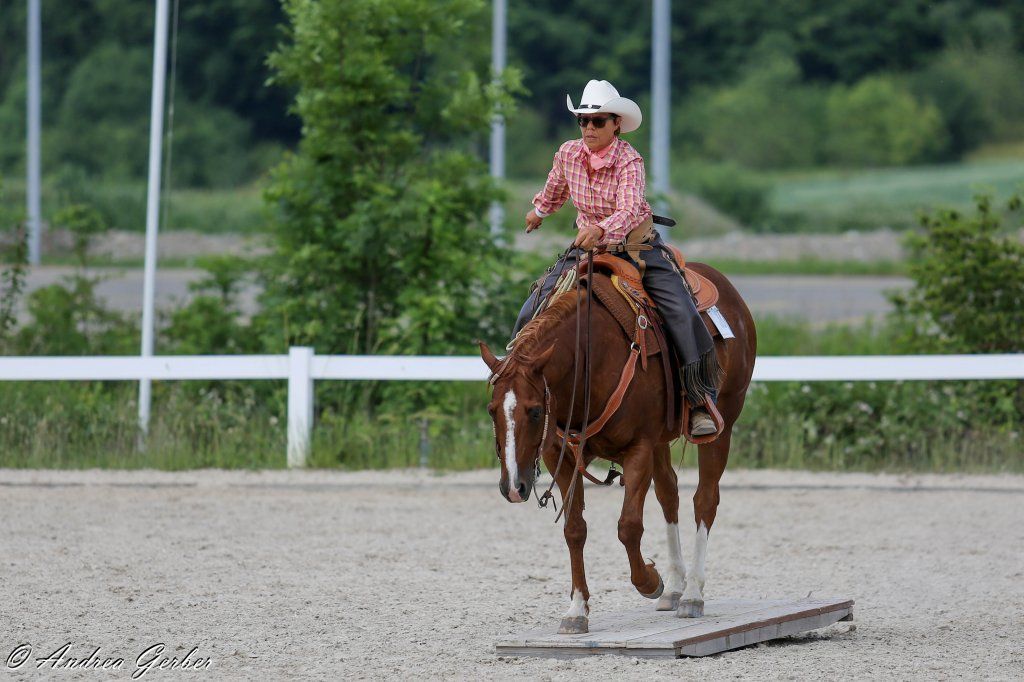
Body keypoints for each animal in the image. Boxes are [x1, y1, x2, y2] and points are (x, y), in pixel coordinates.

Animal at [478, 259, 756, 634]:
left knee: (705, 500)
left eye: (535, 411)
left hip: (723, 421)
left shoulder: (638, 449)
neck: (589, 359)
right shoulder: (560, 456)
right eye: (492, 410)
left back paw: (692, 594)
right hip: (660, 443)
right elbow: (574, 529)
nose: (513, 486)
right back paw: (676, 587)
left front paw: (650, 581)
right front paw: (576, 610)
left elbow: (628, 526)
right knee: (669, 495)